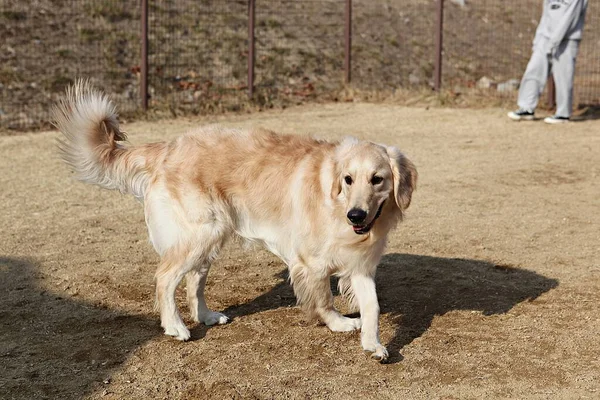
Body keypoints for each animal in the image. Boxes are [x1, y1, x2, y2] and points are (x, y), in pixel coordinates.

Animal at [52, 80, 418, 360]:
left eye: (377, 179)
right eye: (347, 179)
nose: (356, 215)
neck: (336, 206)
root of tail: (167, 147)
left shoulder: (360, 264)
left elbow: (372, 306)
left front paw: (374, 344)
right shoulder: (309, 262)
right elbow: (323, 299)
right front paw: (339, 323)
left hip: (210, 239)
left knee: (193, 282)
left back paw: (206, 316)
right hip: (200, 233)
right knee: (165, 278)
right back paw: (176, 326)